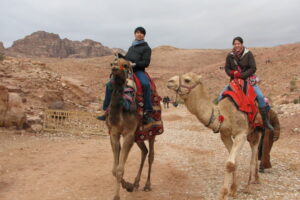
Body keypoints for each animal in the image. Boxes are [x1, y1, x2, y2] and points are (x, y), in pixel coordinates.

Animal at [106, 55, 157, 200]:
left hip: (152, 132)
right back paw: (136, 183)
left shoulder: (128, 133)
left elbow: (119, 169)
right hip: (138, 136)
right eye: (112, 63)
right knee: (144, 151)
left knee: (151, 155)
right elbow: (114, 169)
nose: (114, 68)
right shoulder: (114, 133)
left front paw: (117, 196)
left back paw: (147, 185)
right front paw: (128, 186)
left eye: (125, 65)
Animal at [166, 72, 262, 200]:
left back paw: (249, 186)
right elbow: (234, 162)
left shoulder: (241, 133)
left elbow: (230, 163)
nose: (169, 81)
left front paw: (223, 194)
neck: (225, 115)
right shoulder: (225, 135)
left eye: (187, 80)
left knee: (254, 151)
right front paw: (233, 190)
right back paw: (256, 179)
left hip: (257, 129)